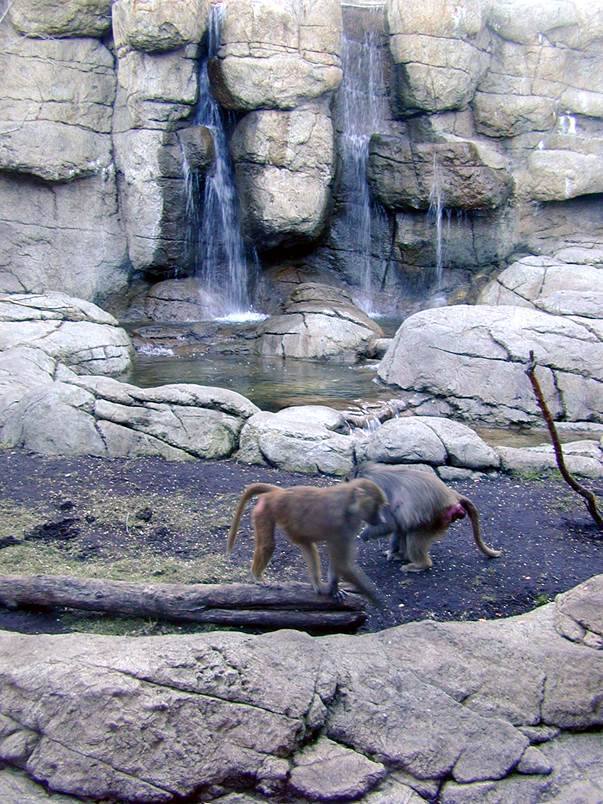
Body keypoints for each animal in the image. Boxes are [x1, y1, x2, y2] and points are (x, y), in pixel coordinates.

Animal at [227, 478, 387, 605]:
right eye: (376, 506)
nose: (382, 519)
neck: (349, 503)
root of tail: (278, 493)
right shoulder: (340, 526)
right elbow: (343, 564)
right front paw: (376, 599)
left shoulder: (349, 528)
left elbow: (338, 562)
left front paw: (334, 589)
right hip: (265, 510)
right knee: (268, 545)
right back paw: (257, 576)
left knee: (306, 543)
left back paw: (318, 586)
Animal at [351, 463, 501, 572]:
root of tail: (452, 496)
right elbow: (397, 525)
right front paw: (392, 551)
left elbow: (389, 524)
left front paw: (364, 535)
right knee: (405, 527)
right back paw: (403, 556)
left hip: (436, 518)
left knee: (414, 534)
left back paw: (420, 565)